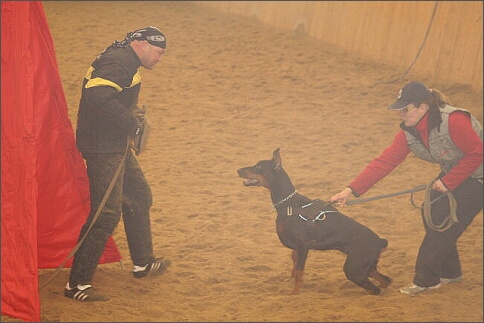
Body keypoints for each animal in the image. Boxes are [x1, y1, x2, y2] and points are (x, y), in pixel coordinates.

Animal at [236, 149, 392, 296]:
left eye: (258, 167)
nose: (238, 170)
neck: (288, 204)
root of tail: (380, 241)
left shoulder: (302, 245)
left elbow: (299, 271)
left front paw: (295, 293)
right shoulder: (296, 249)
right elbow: (295, 266)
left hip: (354, 268)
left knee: (375, 289)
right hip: (365, 267)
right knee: (385, 280)